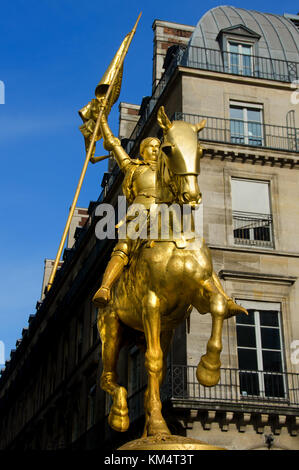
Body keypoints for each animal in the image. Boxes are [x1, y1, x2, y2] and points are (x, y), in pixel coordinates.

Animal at [96, 105, 248, 436]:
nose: (192, 196)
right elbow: (152, 362)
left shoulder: (199, 292)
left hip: (161, 328)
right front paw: (157, 425)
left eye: (200, 149)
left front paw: (208, 370)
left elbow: (219, 306)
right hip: (112, 328)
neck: (175, 236)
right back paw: (123, 415)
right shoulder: (151, 303)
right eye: (167, 148)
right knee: (108, 378)